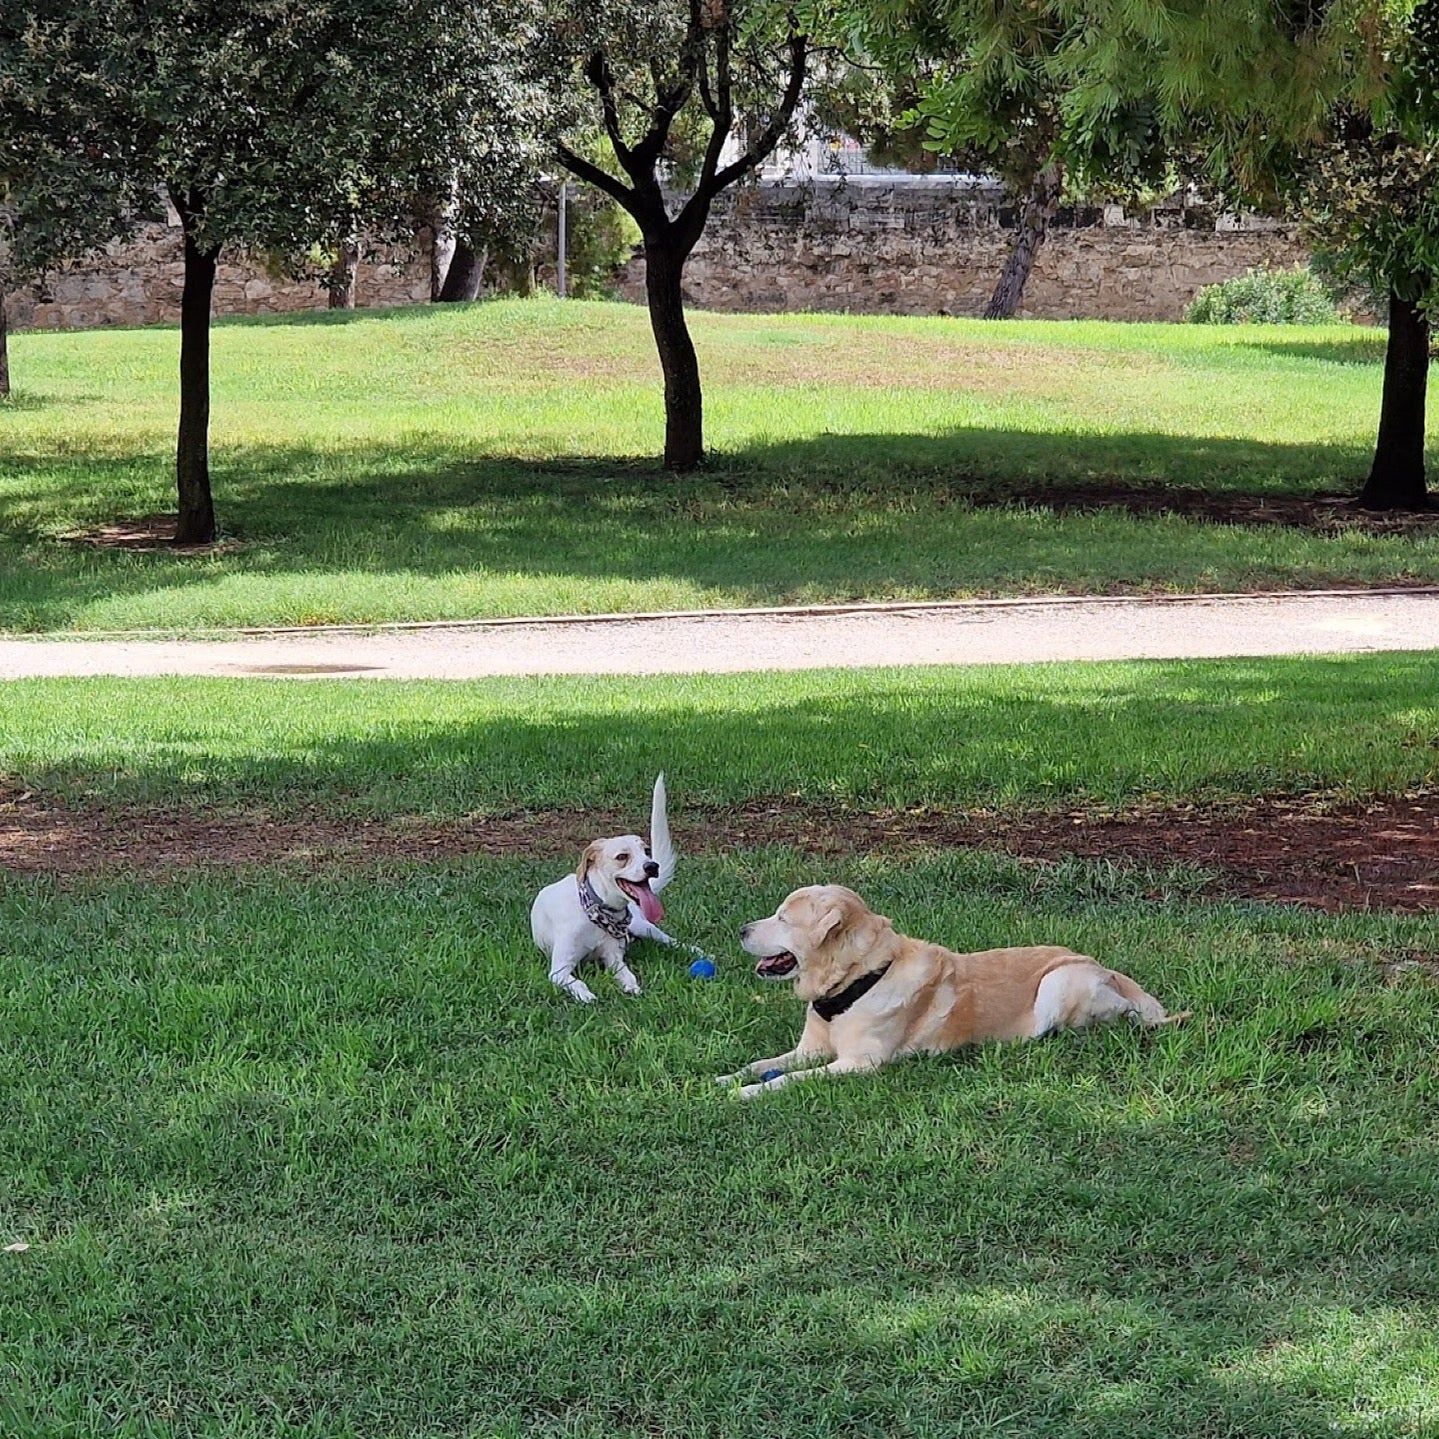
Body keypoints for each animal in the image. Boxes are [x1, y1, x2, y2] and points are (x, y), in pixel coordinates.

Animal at [535, 777, 679, 1001]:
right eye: (622, 856)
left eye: (646, 851)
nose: (652, 866)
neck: (595, 910)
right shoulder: (559, 970)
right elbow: (577, 982)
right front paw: (586, 995)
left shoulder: (614, 959)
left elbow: (628, 975)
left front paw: (632, 988)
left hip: (643, 926)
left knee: (673, 941)